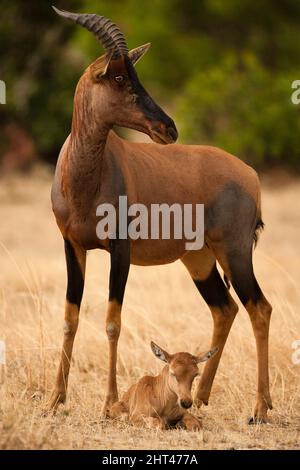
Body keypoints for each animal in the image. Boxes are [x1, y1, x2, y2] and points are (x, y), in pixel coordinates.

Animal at [49, 6, 274, 426]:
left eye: (132, 74)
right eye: (119, 77)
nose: (168, 128)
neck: (87, 174)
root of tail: (250, 174)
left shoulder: (119, 250)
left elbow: (112, 321)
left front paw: (109, 403)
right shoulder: (72, 246)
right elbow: (70, 317)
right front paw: (54, 400)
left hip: (235, 253)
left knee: (260, 308)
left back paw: (260, 408)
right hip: (198, 259)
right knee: (225, 308)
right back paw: (201, 398)